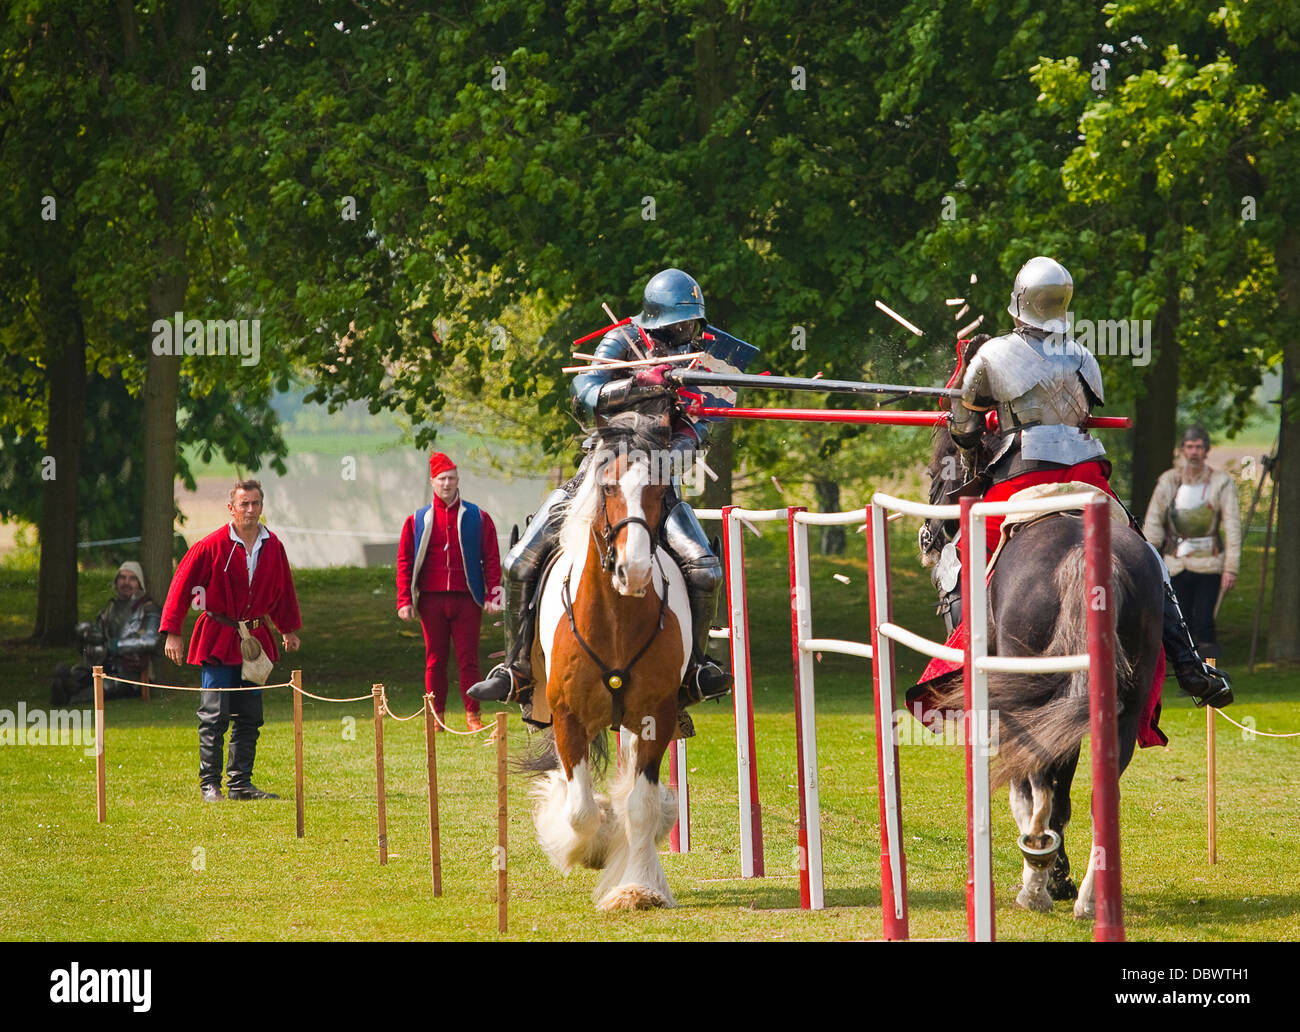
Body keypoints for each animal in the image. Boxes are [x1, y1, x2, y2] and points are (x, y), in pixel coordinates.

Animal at [525, 405, 696, 904]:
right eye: (607, 486)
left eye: (659, 488)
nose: (633, 569)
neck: (617, 622)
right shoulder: (568, 718)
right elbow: (580, 811)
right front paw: (590, 846)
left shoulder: (656, 716)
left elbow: (640, 807)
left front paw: (638, 886)